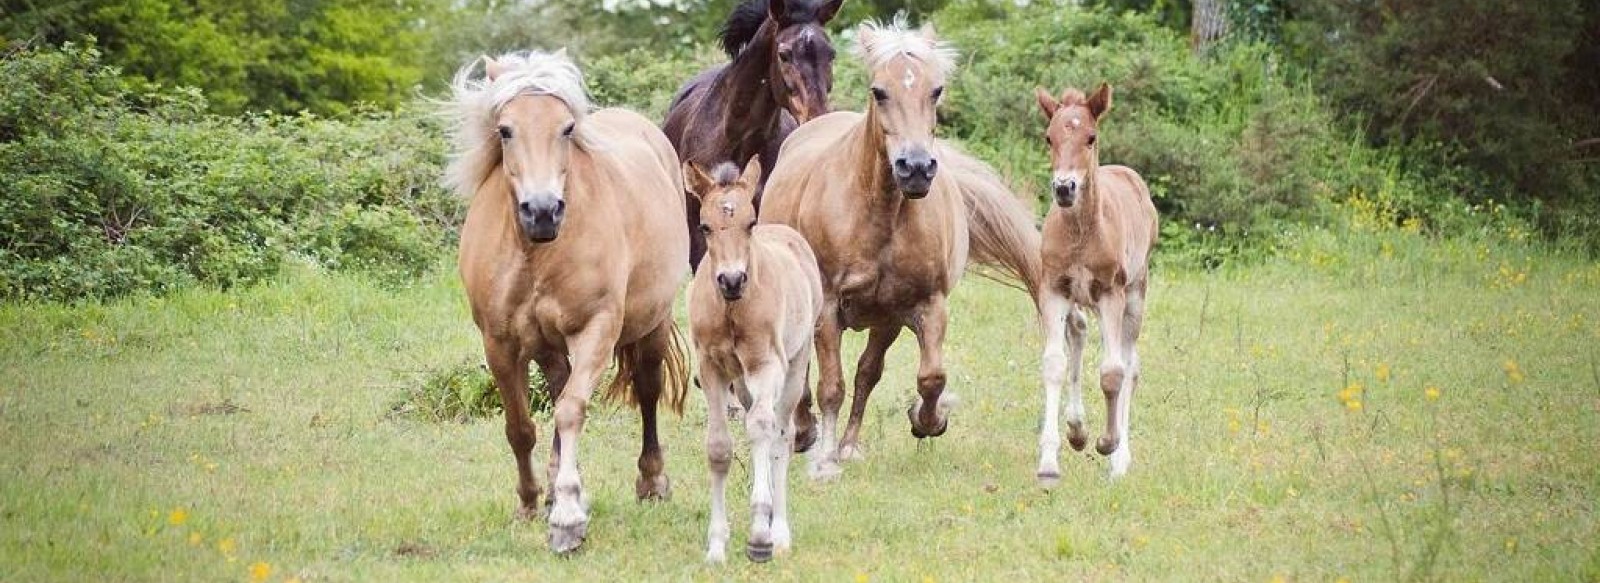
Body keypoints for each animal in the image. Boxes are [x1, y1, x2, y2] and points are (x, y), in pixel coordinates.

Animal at [441, 49, 691, 550]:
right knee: (557, 392)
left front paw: (569, 517)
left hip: (652, 325)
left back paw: (652, 481)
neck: (536, 254)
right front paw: (530, 503)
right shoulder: (499, 343)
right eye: (505, 129)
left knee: (647, 391)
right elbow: (521, 427)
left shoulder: (595, 329)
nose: (542, 211)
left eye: (567, 128)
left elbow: (572, 411)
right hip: (548, 346)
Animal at [684, 160, 825, 563]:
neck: (732, 309)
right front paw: (716, 545)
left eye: (750, 222)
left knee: (781, 434)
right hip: (743, 383)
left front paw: (760, 535)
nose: (732, 280)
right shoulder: (711, 369)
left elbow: (764, 430)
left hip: (795, 363)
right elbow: (719, 448)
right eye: (705, 226)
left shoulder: (766, 365)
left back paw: (779, 531)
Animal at [758, 20, 1043, 477]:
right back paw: (805, 434)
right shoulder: (828, 308)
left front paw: (927, 421)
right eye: (879, 91)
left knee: (867, 373)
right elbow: (830, 385)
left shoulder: (925, 305)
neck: (882, 214)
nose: (917, 168)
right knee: (804, 376)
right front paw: (824, 461)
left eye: (936, 90)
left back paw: (849, 445)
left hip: (884, 321)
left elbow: (927, 377)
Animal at [1030, 83, 1158, 483]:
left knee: (1130, 365)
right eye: (1049, 137)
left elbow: (1113, 373)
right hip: (1079, 300)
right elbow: (1054, 363)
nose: (1064, 188)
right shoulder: (1054, 289)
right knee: (1079, 334)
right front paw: (1049, 462)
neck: (1082, 232)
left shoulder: (1110, 293)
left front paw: (1108, 445)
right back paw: (1077, 429)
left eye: (1091, 137)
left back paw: (1119, 459)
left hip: (1135, 295)